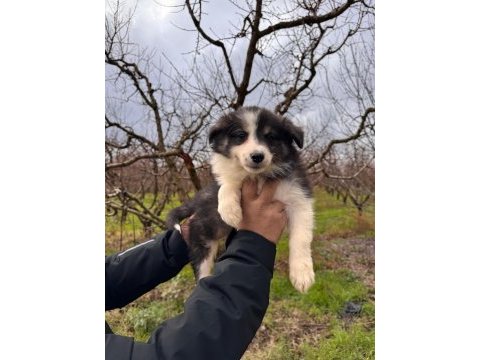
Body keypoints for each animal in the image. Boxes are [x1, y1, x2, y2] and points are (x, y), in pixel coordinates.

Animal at [167, 106, 316, 292]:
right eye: (240, 135)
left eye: (271, 136)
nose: (257, 156)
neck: (259, 176)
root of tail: (196, 202)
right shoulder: (230, 178)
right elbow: (228, 183)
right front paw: (230, 212)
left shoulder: (299, 199)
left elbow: (300, 238)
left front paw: (302, 274)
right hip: (201, 241)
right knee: (202, 271)